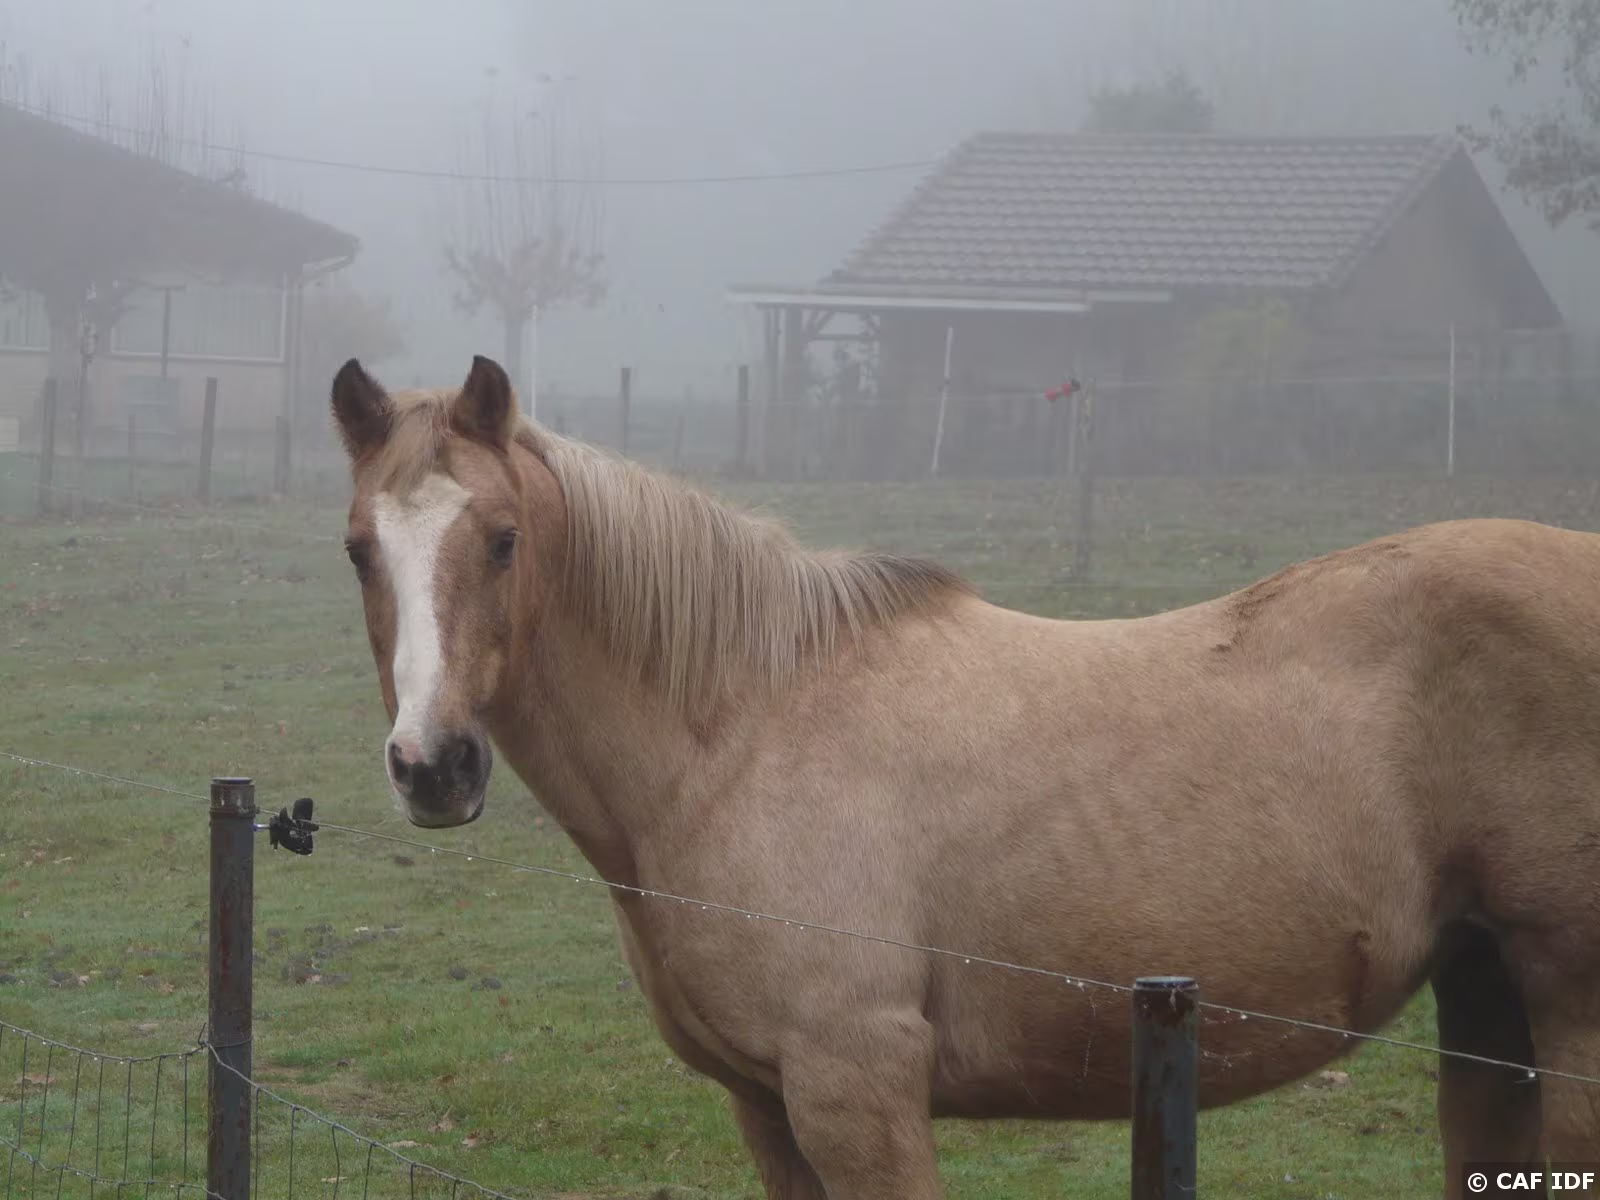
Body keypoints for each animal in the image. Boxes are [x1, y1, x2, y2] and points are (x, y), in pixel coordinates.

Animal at [331, 354, 1600, 1199]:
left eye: (502, 539)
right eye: (357, 550)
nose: (432, 767)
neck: (743, 733)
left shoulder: (858, 1092)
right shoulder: (767, 1108)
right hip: (1486, 1003)